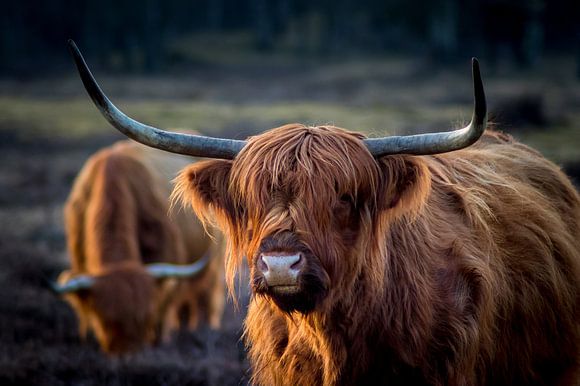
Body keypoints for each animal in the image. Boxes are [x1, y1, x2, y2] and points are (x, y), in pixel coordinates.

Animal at [55, 140, 224, 354]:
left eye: (145, 316)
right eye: (106, 320)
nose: (127, 355)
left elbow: (162, 313)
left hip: (213, 267)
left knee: (205, 298)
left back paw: (204, 331)